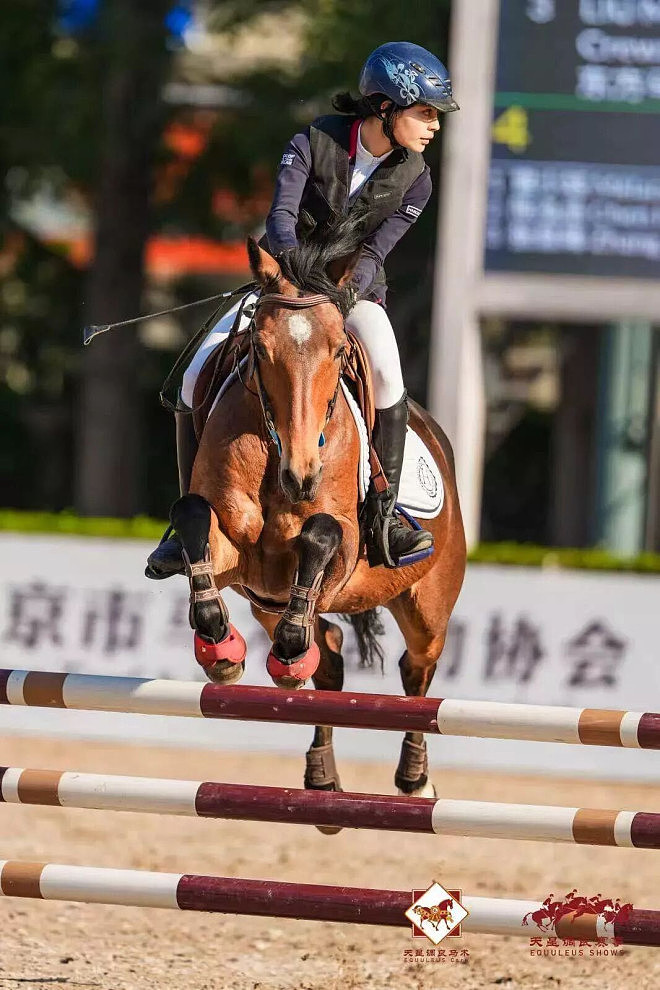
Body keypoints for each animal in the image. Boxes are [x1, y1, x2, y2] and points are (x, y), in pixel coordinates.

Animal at [170, 217, 466, 816]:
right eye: (259, 349)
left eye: (336, 352)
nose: (302, 475)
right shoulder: (239, 557)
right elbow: (193, 517)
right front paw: (220, 647)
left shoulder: (344, 545)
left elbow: (321, 534)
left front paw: (277, 648)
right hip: (264, 601)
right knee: (327, 657)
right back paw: (322, 775)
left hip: (428, 605)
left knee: (417, 671)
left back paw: (414, 779)